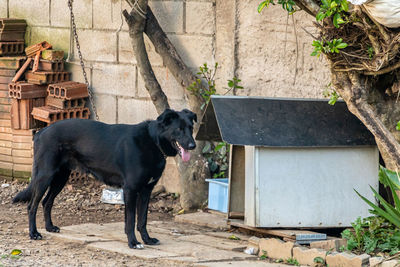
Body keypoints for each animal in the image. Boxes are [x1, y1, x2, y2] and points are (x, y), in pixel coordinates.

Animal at [13, 108, 198, 249]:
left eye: (190, 128)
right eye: (179, 129)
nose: (193, 145)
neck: (153, 141)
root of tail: (42, 132)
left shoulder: (146, 190)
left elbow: (142, 220)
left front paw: (147, 240)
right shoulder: (130, 190)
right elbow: (131, 220)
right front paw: (133, 243)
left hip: (61, 177)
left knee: (47, 202)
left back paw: (50, 227)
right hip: (45, 175)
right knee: (32, 205)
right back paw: (34, 233)